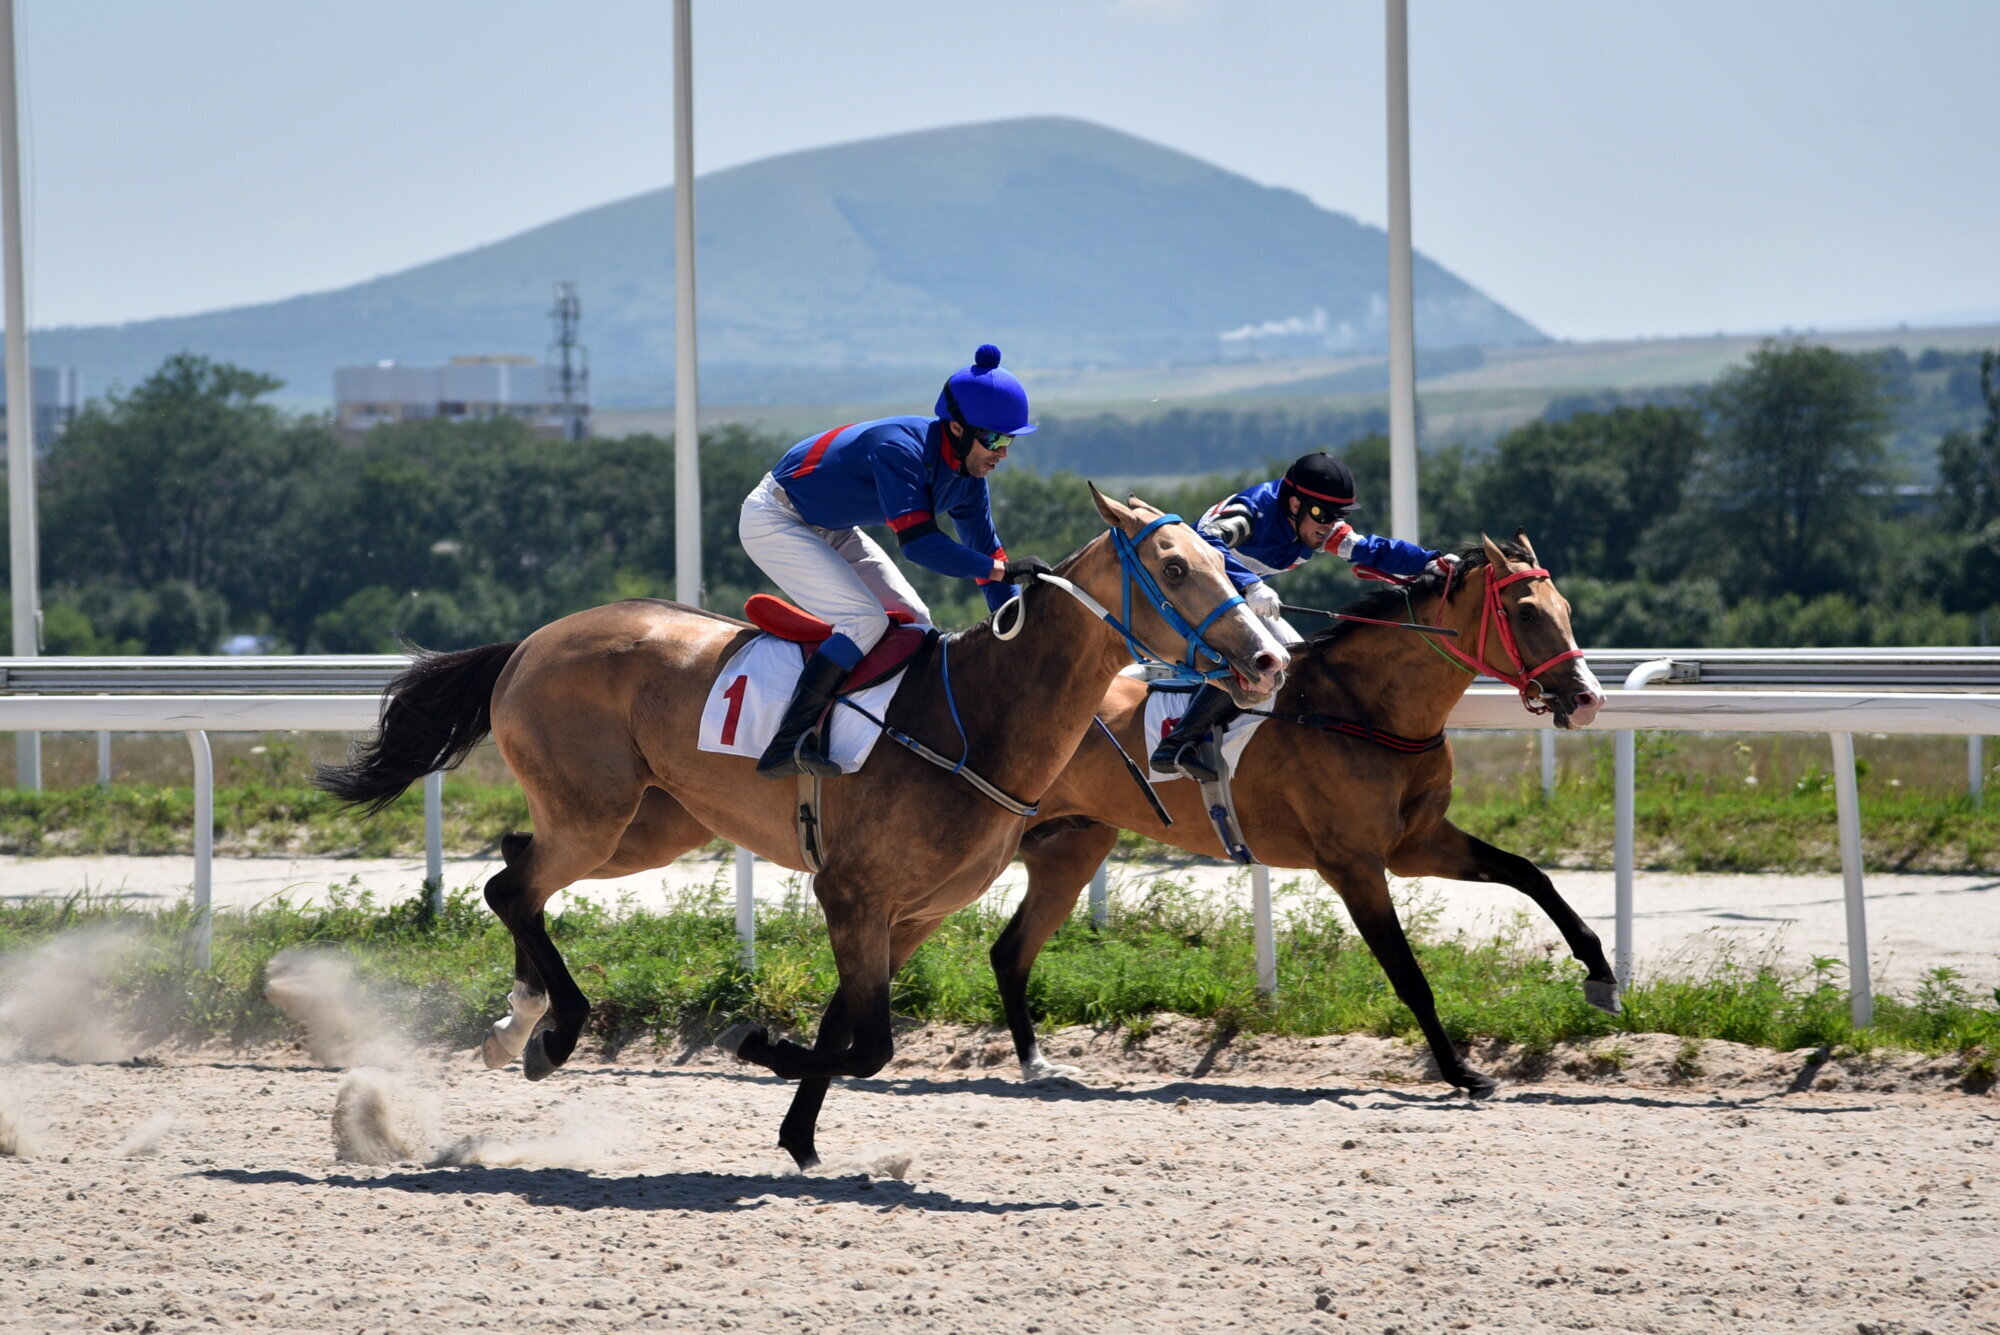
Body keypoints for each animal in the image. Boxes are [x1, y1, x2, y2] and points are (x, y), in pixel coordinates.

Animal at [312, 489, 1280, 1167]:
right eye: (1175, 567)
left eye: (1227, 558)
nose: (1269, 657)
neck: (976, 716)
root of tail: (528, 642)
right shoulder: (852, 892)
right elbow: (870, 1043)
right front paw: (757, 1045)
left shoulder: (905, 912)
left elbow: (844, 1028)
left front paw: (799, 1136)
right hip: (596, 816)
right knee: (509, 885)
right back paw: (556, 1029)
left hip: (644, 828)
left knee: (519, 869)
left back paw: (519, 1023)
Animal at [992, 531, 1616, 1095]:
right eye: (1527, 612)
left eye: (1565, 609)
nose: (1588, 699)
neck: (1364, 709)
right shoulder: (1353, 865)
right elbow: (1408, 975)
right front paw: (1461, 1071)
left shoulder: (1418, 843)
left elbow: (1529, 873)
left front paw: (1601, 973)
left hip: (1070, 849)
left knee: (1010, 951)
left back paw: (1037, 1065)